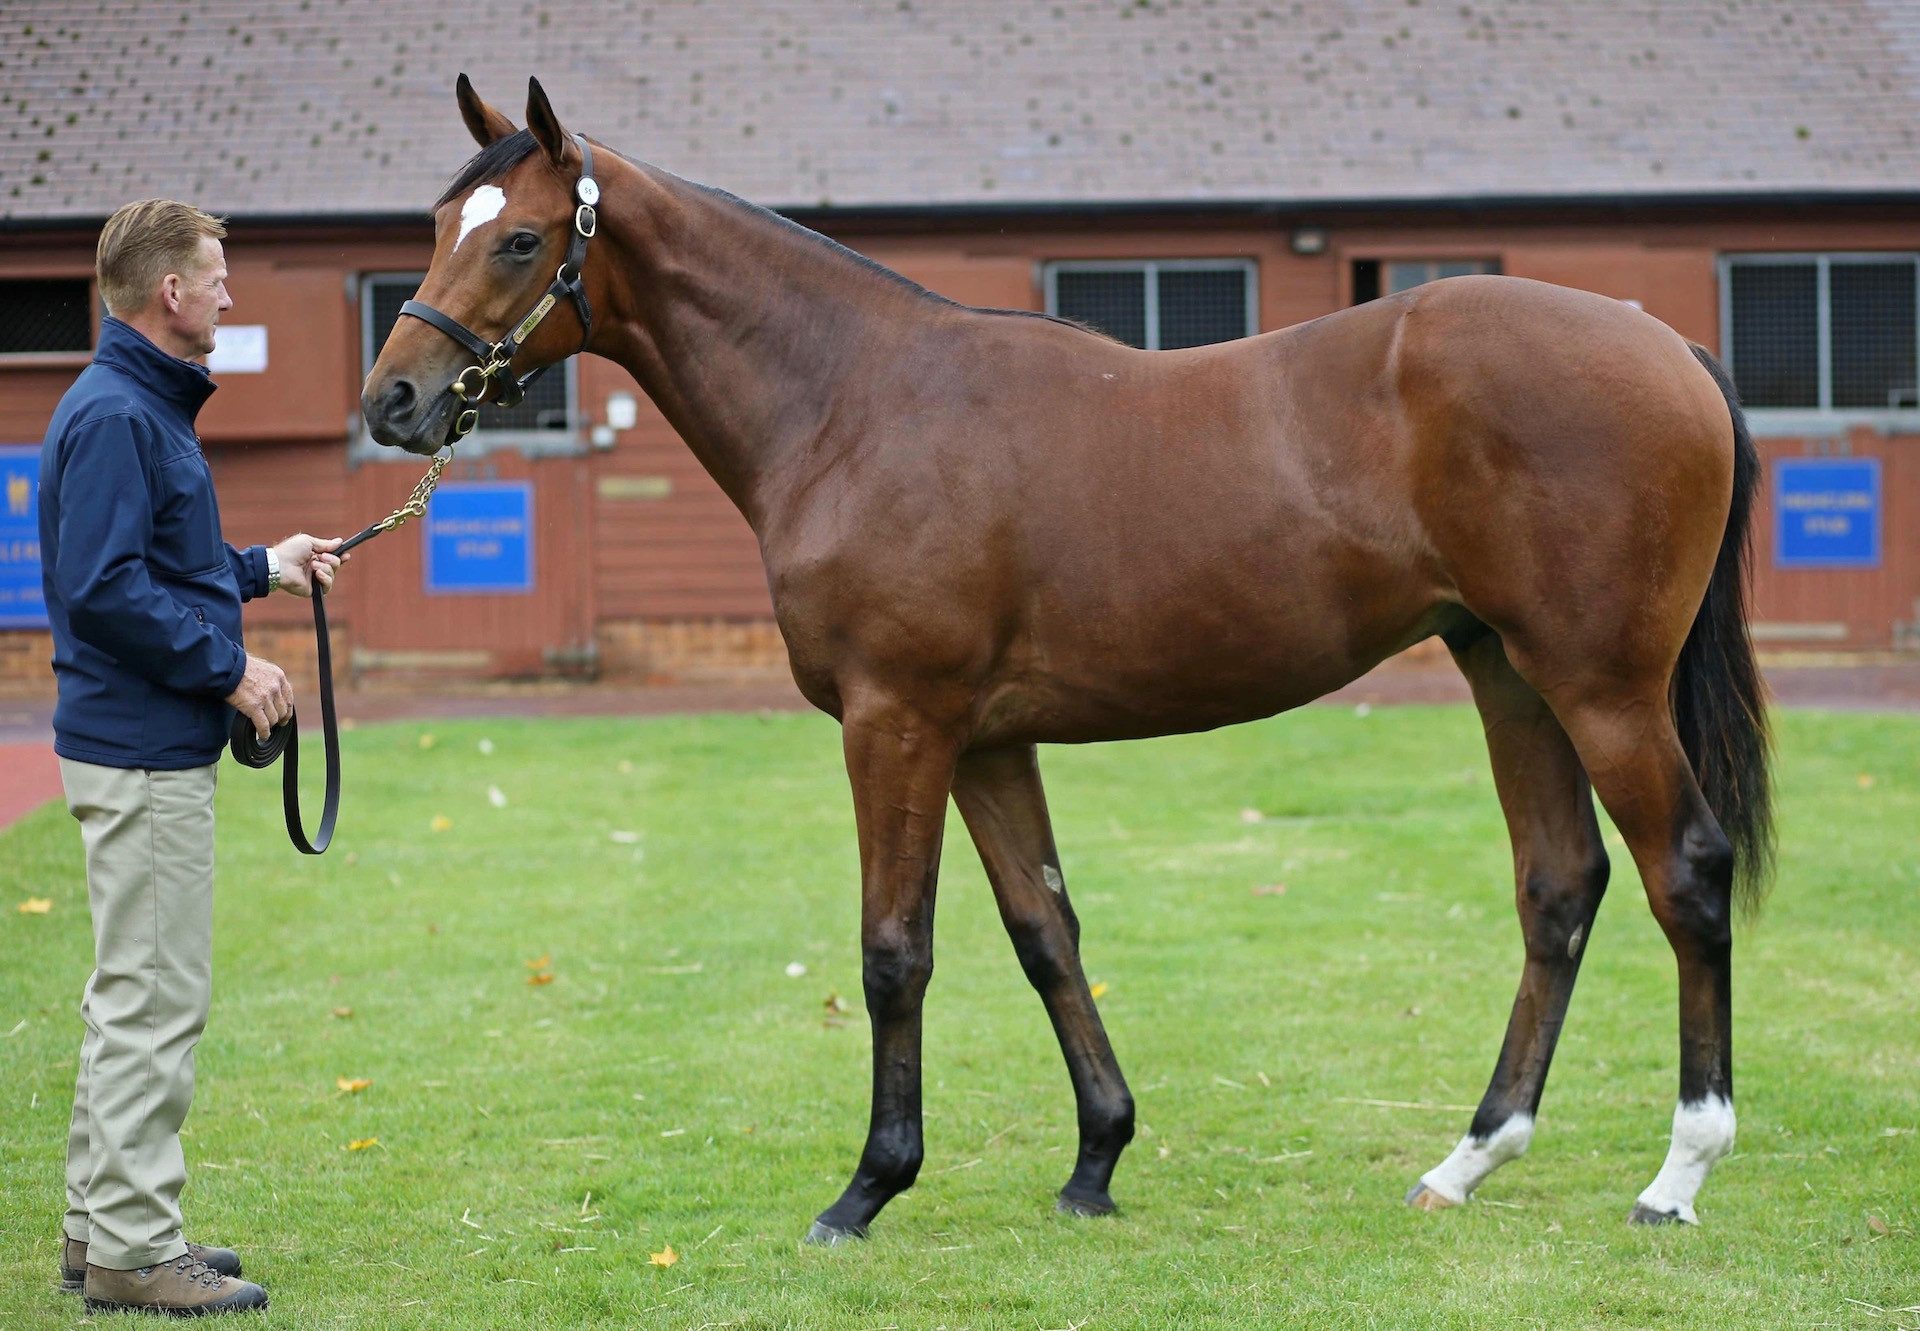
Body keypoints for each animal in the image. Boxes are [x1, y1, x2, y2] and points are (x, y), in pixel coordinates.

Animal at [360, 77, 1766, 1244]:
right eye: (434, 228)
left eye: (521, 239)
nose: (393, 403)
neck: (858, 401)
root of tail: (1664, 342)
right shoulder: (988, 739)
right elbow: (1046, 931)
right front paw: (1096, 1161)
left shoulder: (897, 722)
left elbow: (894, 948)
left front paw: (866, 1188)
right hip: (1507, 671)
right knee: (1560, 884)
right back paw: (1468, 1159)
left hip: (1600, 686)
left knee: (1684, 874)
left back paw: (1678, 1173)